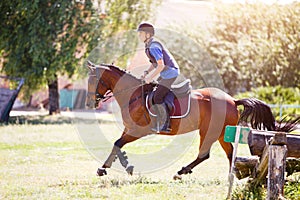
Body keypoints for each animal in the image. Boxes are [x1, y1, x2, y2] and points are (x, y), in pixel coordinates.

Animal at [85, 61, 298, 180]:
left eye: (93, 80)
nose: (89, 103)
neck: (133, 94)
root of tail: (232, 99)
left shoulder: (139, 130)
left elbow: (117, 143)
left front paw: (103, 169)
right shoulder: (130, 128)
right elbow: (117, 145)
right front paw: (124, 166)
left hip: (209, 131)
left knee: (205, 155)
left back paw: (182, 172)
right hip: (220, 132)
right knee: (229, 154)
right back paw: (231, 175)